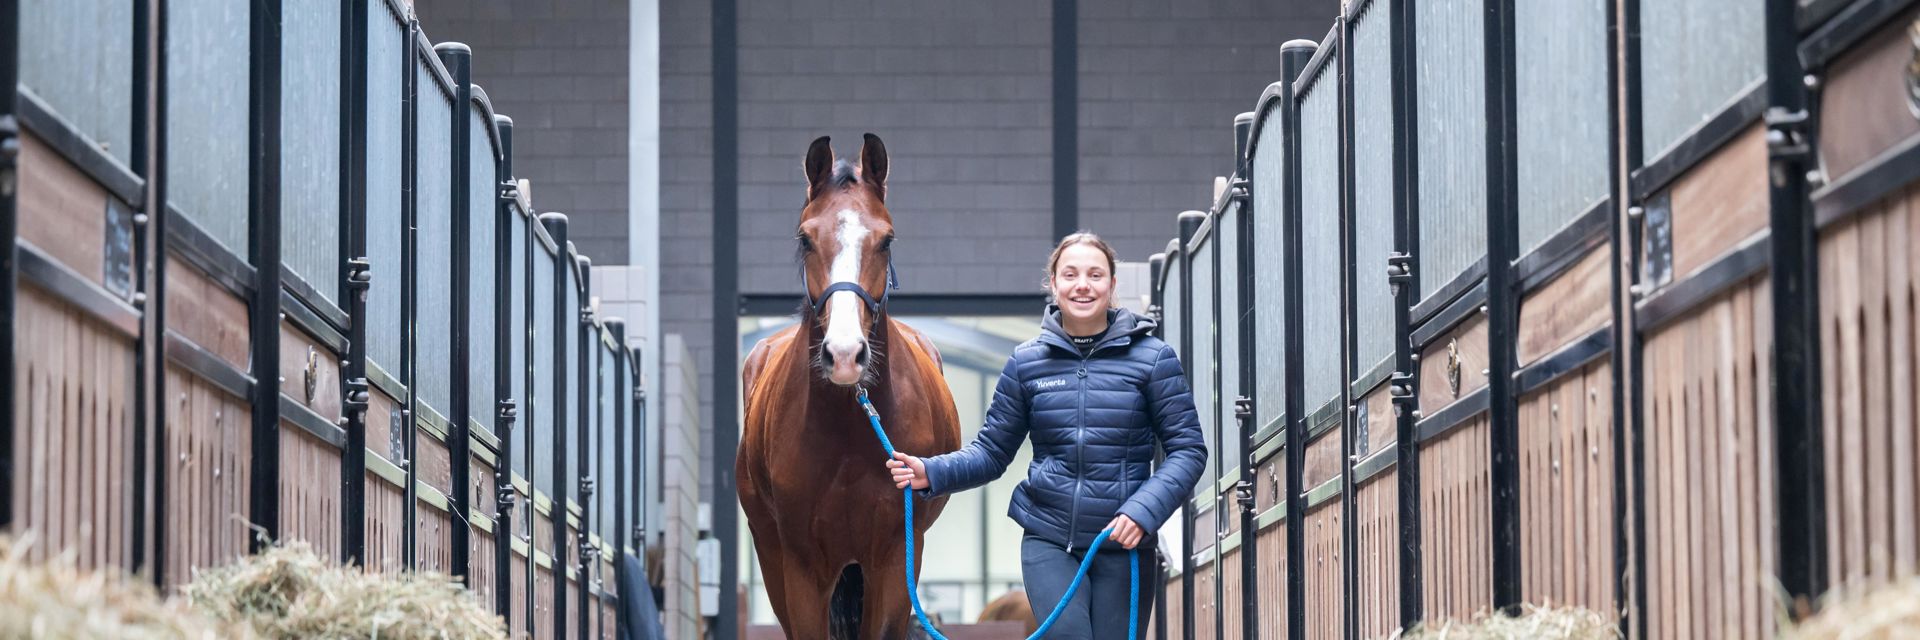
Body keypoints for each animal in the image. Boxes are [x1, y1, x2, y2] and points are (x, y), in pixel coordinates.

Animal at [739, 134, 963, 639]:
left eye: (886, 239)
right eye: (805, 238)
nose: (844, 355)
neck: (847, 429)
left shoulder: (894, 560)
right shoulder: (802, 568)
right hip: (772, 555)